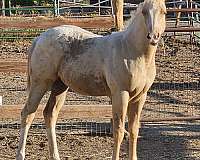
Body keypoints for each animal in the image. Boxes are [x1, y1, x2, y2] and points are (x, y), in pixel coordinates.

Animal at [15, 0, 166, 159]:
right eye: (144, 12)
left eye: (164, 12)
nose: (153, 37)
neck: (131, 51)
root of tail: (39, 38)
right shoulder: (120, 94)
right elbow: (118, 131)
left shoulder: (140, 97)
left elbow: (134, 130)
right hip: (40, 84)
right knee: (27, 114)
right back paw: (20, 155)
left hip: (59, 87)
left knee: (49, 114)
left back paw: (55, 155)